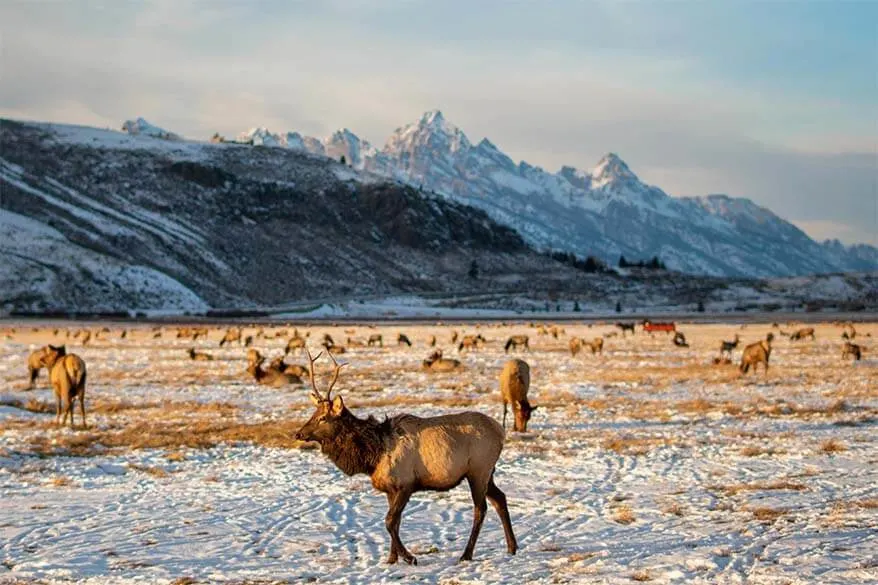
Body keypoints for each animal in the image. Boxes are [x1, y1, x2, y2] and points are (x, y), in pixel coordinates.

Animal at [298, 350, 516, 564]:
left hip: (478, 470)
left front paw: (409, 557)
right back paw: (512, 547)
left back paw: (466, 554)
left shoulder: (406, 484)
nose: (299, 434)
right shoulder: (390, 489)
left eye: (323, 418)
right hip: (488, 473)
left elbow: (389, 521)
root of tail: (501, 432)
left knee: (481, 508)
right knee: (500, 498)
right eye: (313, 414)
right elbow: (396, 522)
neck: (373, 455)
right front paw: (391, 559)